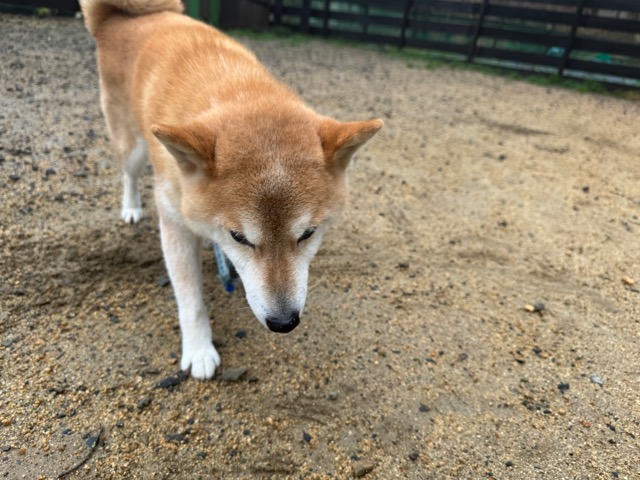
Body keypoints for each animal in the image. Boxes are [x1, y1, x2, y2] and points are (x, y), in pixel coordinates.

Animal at [79, 0, 383, 379]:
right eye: (239, 237)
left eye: (308, 233)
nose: (284, 322)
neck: (233, 89)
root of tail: (122, 18)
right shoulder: (175, 224)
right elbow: (190, 300)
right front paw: (198, 349)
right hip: (132, 146)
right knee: (129, 174)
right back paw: (131, 207)